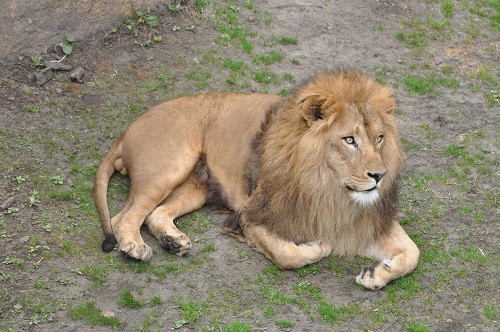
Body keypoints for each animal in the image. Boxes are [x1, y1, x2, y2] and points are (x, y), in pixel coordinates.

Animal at [93, 69, 418, 288]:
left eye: (379, 138)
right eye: (349, 140)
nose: (379, 175)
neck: (330, 190)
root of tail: (130, 127)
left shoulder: (362, 221)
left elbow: (413, 253)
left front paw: (375, 273)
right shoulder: (252, 216)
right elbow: (288, 255)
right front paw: (318, 246)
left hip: (197, 188)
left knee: (155, 214)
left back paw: (173, 241)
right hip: (169, 168)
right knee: (124, 217)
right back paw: (135, 247)